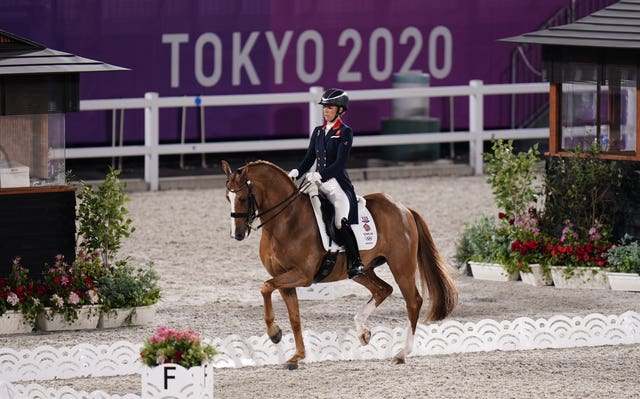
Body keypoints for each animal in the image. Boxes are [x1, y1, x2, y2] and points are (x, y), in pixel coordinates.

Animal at [222, 158, 458, 370]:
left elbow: (265, 286)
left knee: (413, 302)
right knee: (383, 289)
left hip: (402, 267)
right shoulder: (285, 279)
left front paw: (274, 334)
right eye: (227, 197)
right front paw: (296, 356)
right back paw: (363, 332)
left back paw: (401, 353)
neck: (286, 221)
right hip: (361, 270)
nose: (237, 234)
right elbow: (294, 316)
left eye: (242, 198)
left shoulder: (302, 275)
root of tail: (403, 208)